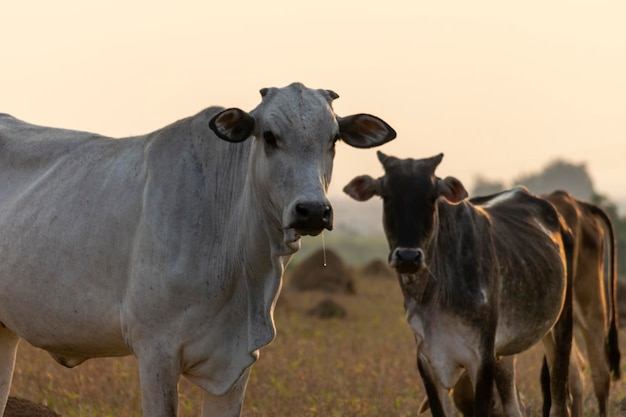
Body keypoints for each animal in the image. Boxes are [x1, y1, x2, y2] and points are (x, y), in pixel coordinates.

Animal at [344, 153, 572, 416]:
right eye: (387, 197)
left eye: (431, 198)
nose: (408, 257)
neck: (434, 295)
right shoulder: (428, 361)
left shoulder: (481, 360)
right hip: (505, 352)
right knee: (514, 406)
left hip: (559, 330)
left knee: (559, 403)